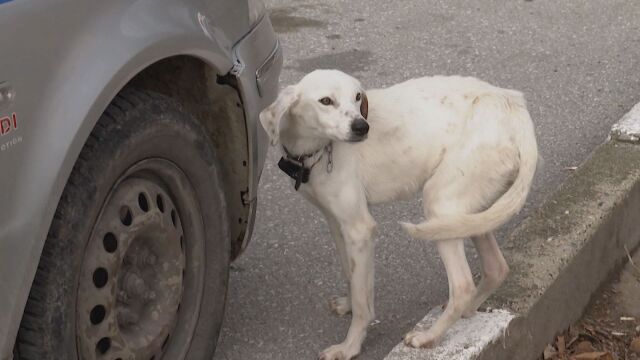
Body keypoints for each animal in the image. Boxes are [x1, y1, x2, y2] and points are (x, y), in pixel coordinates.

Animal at [258, 69, 536, 360]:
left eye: (357, 97)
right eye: (326, 101)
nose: (362, 127)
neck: (318, 150)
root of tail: (514, 107)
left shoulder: (360, 229)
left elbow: (363, 301)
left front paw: (350, 346)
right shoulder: (336, 223)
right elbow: (351, 275)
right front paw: (347, 304)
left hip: (441, 205)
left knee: (462, 286)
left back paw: (429, 336)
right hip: (468, 215)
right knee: (496, 267)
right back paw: (468, 311)